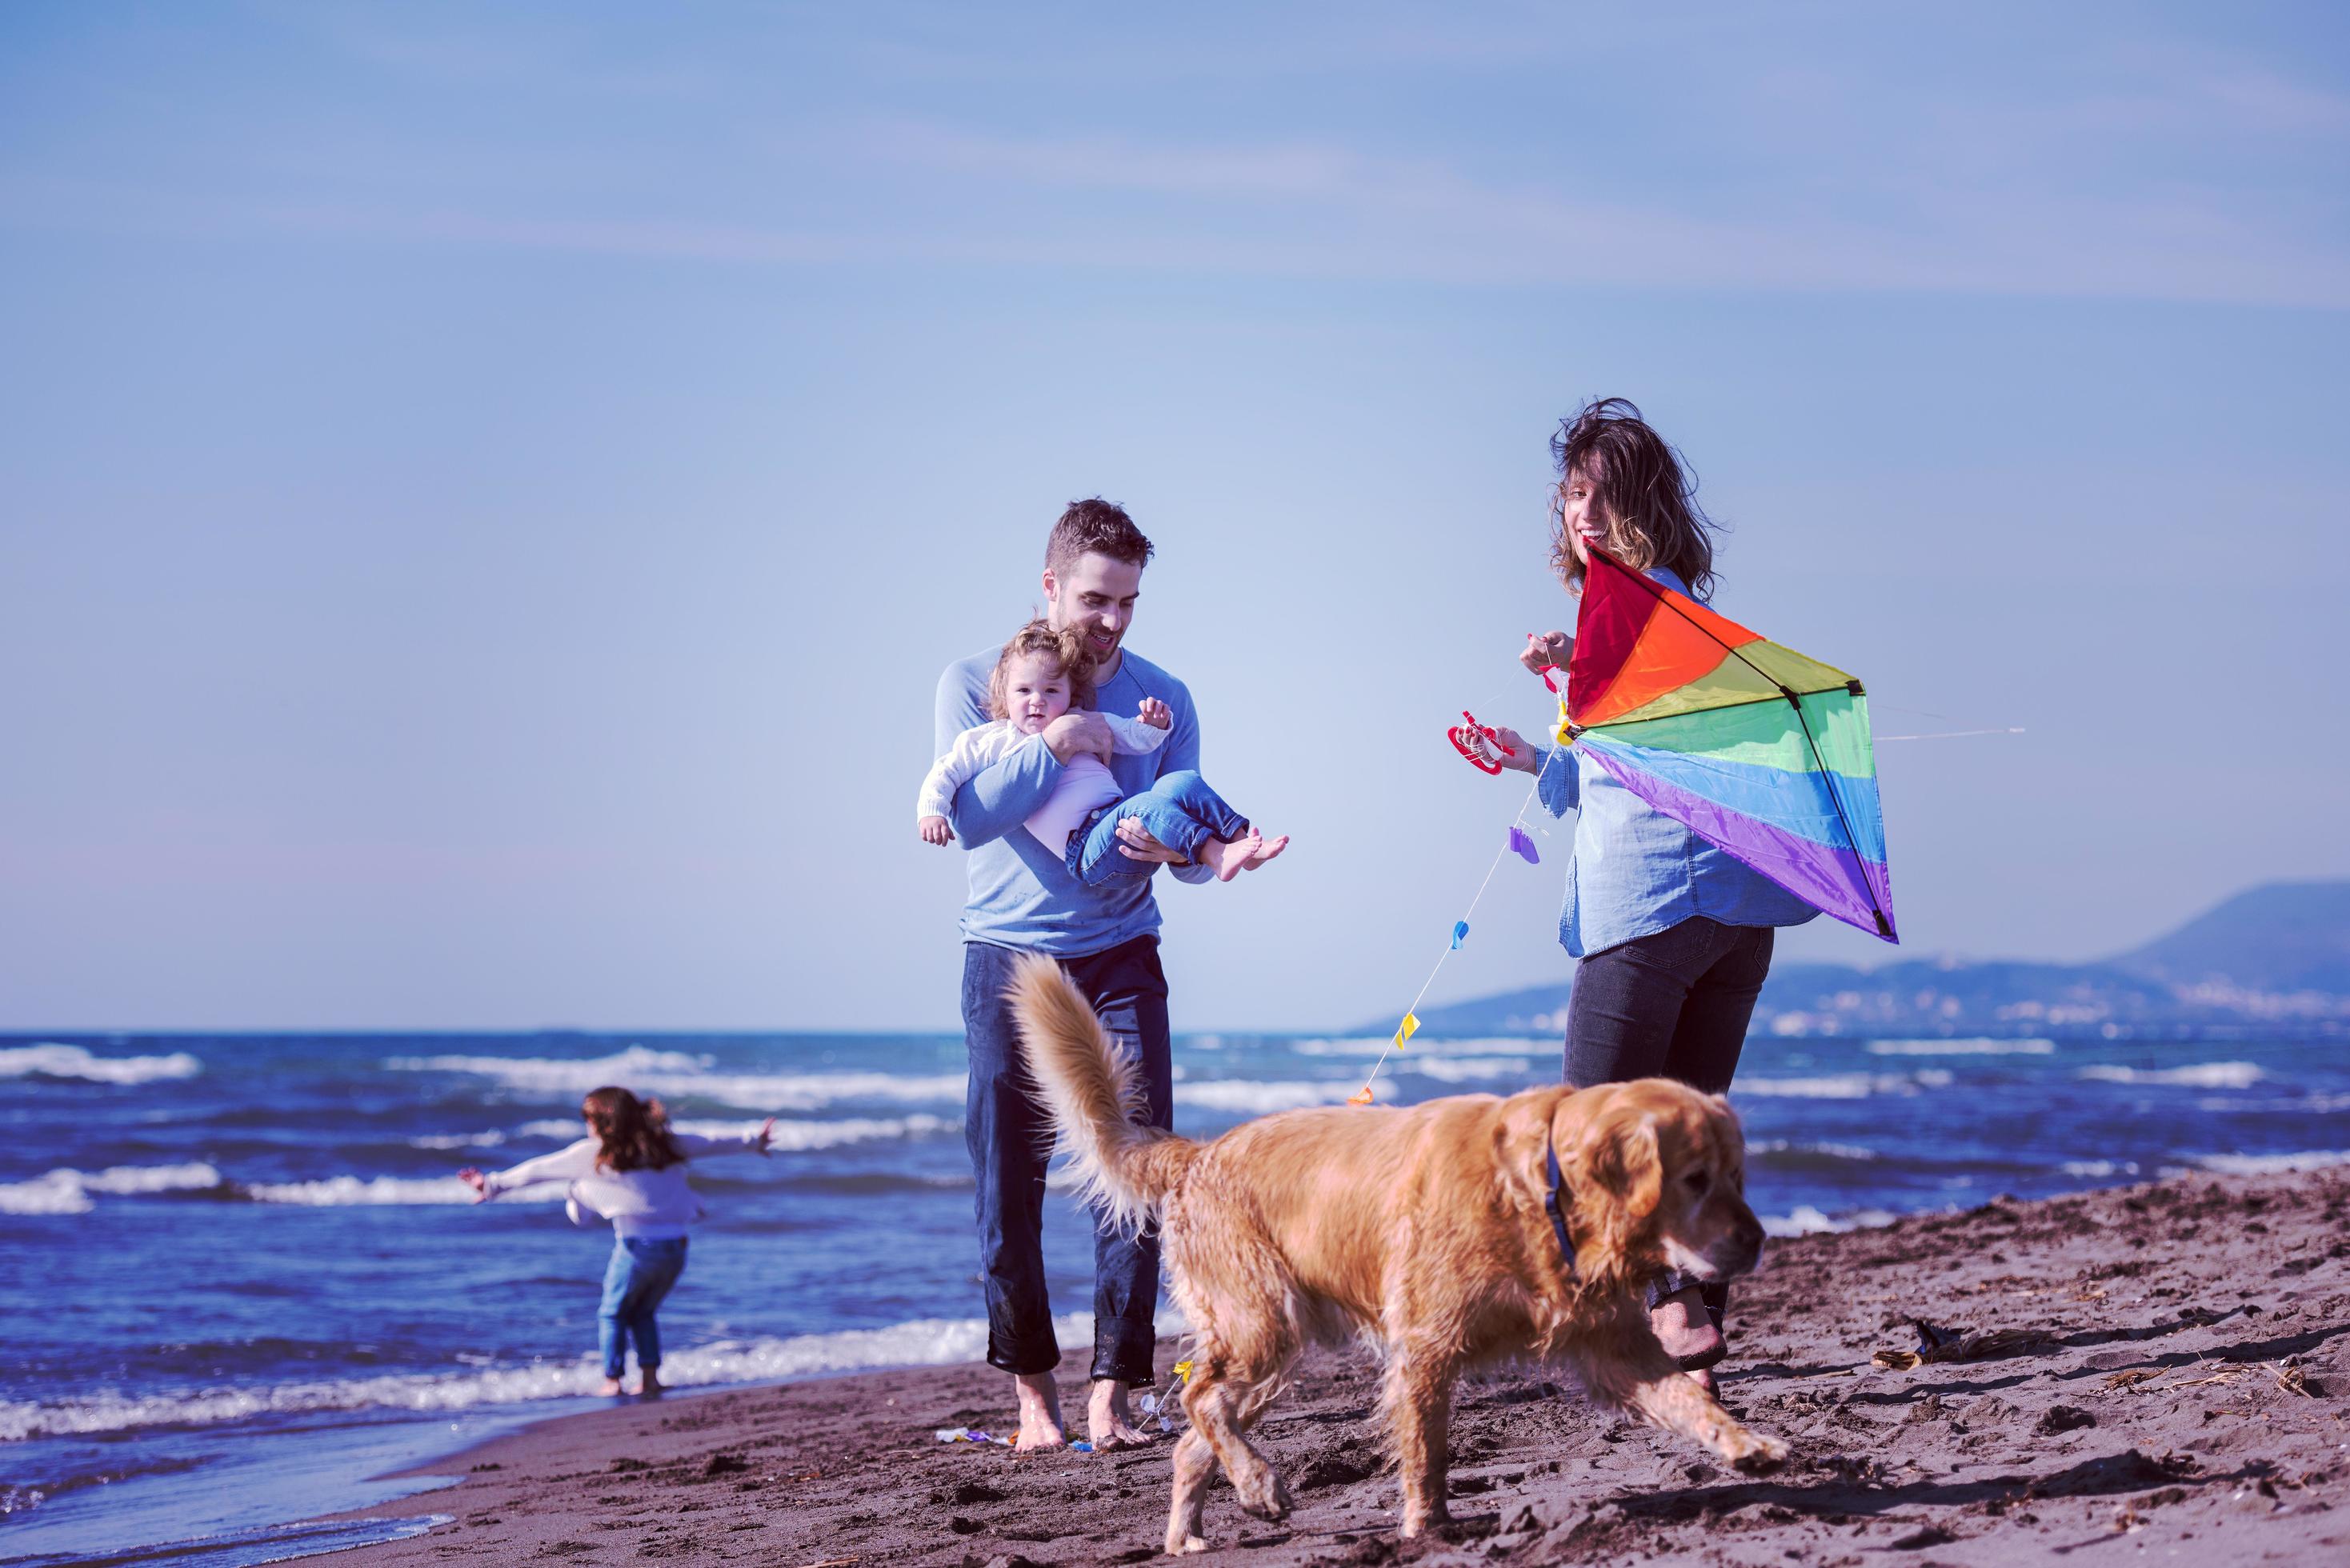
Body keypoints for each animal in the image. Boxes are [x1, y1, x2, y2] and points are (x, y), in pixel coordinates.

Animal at [1001, 958, 1786, 1561]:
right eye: (1694, 1179)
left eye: (1737, 1175)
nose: (1756, 1241)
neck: (1541, 1192)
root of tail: (1200, 1152)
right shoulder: (1426, 1345)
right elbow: (1427, 1448)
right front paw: (1428, 1525)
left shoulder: (1610, 1344)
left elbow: (1685, 1396)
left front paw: (1744, 1443)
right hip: (1264, 1319)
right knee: (1199, 1401)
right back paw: (1258, 1486)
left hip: (1274, 1345)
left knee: (1195, 1436)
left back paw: (1197, 1527)